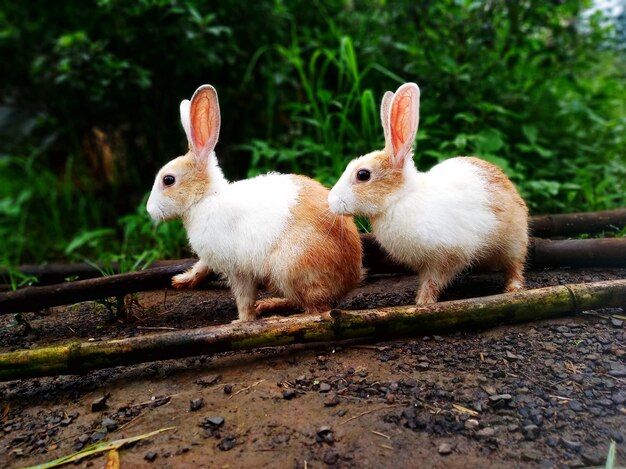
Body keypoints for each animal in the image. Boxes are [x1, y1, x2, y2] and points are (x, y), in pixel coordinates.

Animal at [146, 84, 360, 322]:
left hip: (290, 269)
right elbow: (202, 266)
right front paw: (181, 281)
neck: (205, 198)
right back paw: (269, 305)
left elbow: (244, 298)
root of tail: (351, 277)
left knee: (316, 309)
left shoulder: (238, 270)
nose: (150, 210)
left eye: (168, 180)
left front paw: (241, 321)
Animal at [326, 81, 528, 304]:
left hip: (513, 240)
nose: (331, 202)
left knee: (515, 265)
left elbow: (433, 282)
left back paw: (513, 288)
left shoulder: (445, 258)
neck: (399, 198)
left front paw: (423, 302)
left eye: (363, 175)